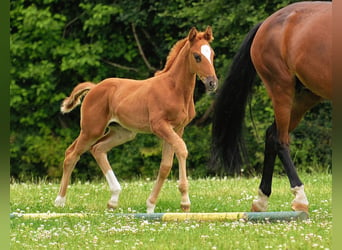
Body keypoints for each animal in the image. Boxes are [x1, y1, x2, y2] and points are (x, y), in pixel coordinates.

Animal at [54, 26, 218, 213]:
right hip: (91, 130)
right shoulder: (160, 126)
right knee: (71, 154)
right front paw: (185, 202)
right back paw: (59, 201)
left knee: (97, 149)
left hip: (122, 132)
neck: (174, 89)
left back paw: (113, 199)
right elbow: (182, 150)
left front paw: (151, 205)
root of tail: (94, 88)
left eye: (212, 55)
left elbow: (165, 165)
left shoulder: (177, 128)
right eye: (197, 56)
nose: (212, 83)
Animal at [210, 1, 330, 213]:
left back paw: (261, 200)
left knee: (272, 134)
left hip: (305, 96)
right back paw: (299, 197)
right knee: (280, 140)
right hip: (281, 88)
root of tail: (265, 23)